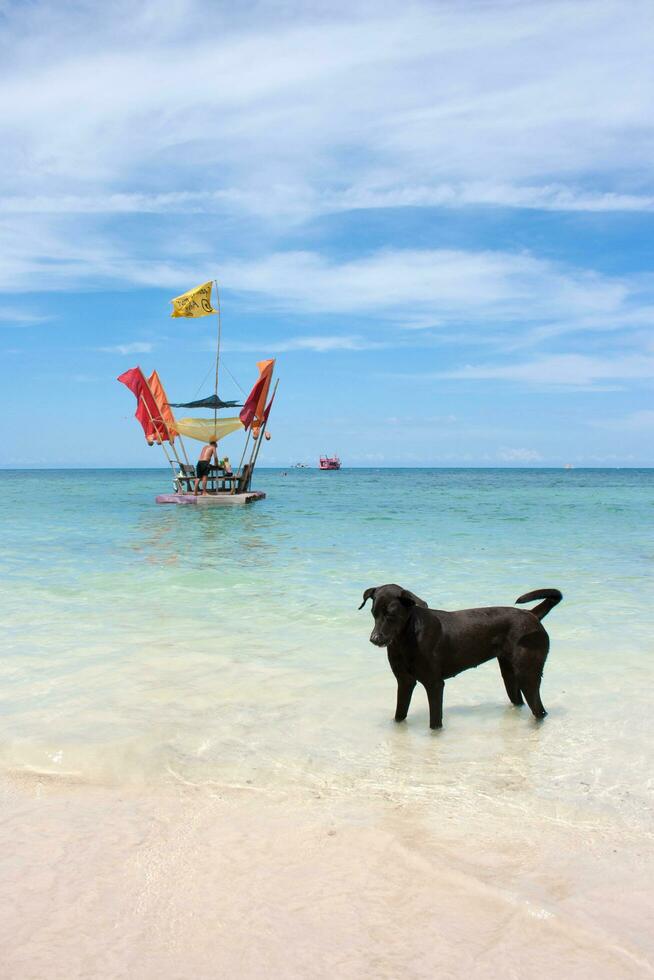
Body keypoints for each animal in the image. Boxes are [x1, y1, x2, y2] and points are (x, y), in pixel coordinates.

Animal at [358, 580, 564, 728]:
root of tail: (532, 615)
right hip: (509, 673)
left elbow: (435, 723)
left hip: (527, 674)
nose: (374, 639)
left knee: (539, 710)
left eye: (391, 614)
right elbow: (399, 716)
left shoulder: (434, 684)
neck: (406, 639)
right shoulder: (404, 681)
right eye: (373, 613)